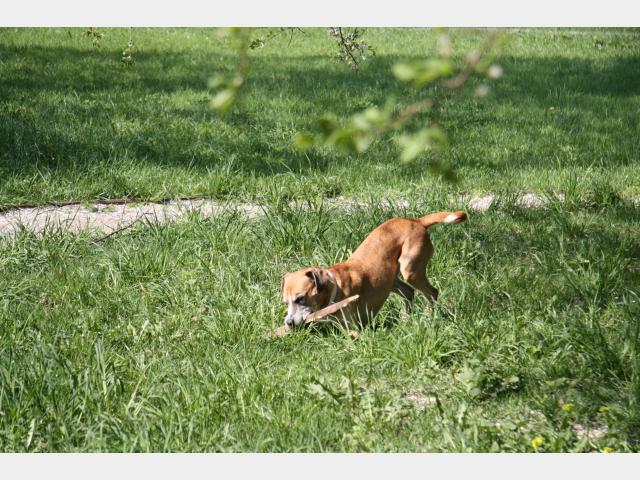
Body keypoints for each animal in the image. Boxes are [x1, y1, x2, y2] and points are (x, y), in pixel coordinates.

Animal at [280, 211, 464, 330]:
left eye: (300, 299)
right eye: (285, 302)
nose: (288, 323)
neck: (335, 288)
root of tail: (416, 221)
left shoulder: (353, 329)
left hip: (410, 270)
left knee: (432, 292)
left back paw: (429, 316)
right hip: (390, 280)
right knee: (409, 291)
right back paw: (405, 320)